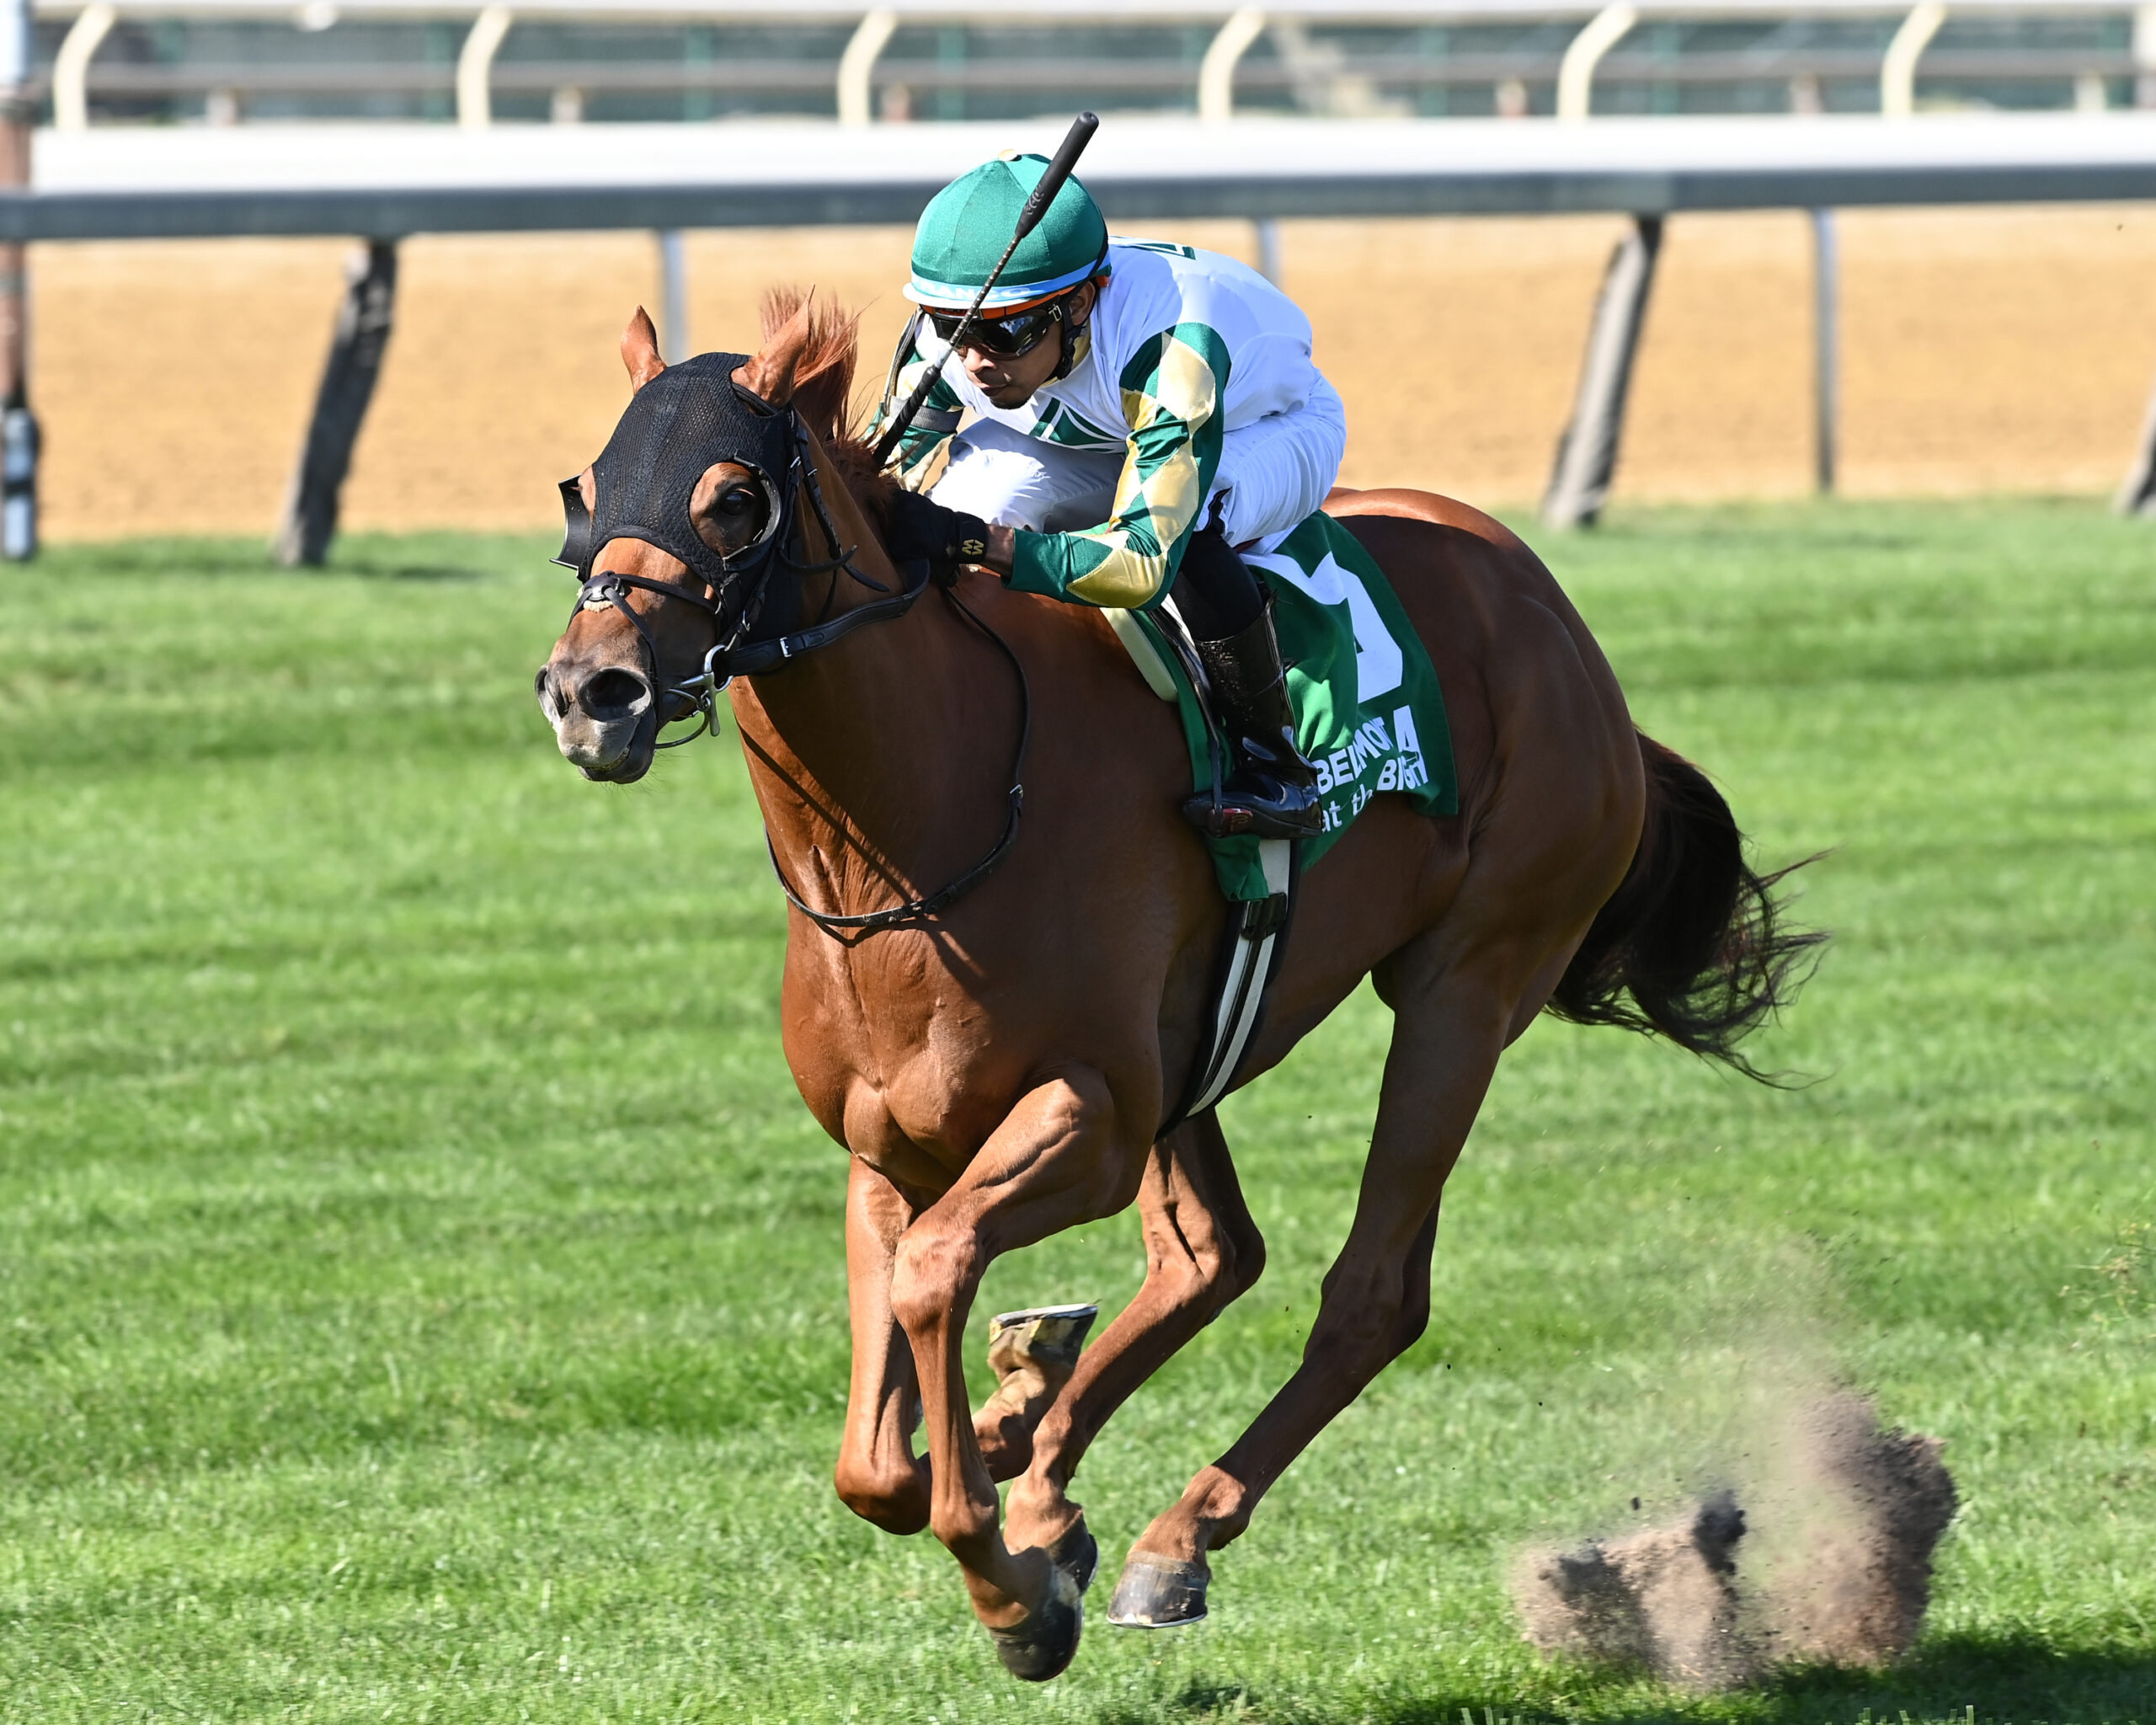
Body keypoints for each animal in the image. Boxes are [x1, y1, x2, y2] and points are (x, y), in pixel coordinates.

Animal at [535, 290, 1817, 1681]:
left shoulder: (1088, 1116)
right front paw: (1008, 1464)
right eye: (586, 486)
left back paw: (1169, 1534)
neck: (923, 819)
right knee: (1213, 1255)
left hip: (1466, 987)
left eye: (730, 498)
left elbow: (935, 1281)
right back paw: (1042, 1444)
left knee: (1370, 1296)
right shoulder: (892, 1150)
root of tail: (1549, 610)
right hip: (1197, 1053)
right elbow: (874, 1461)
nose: (590, 691)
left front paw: (1016, 1592)